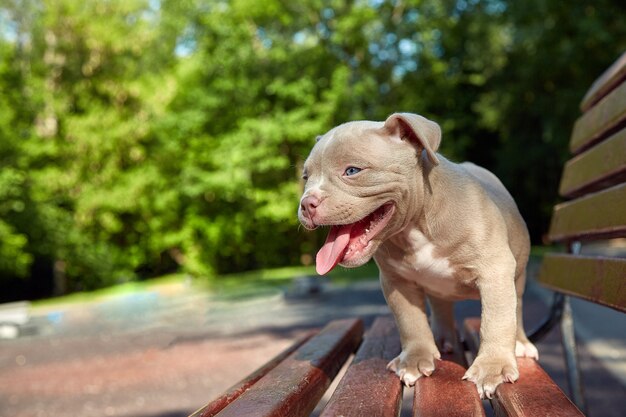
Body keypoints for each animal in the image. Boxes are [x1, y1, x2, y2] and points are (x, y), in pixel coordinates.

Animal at [298, 112, 536, 398]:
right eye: (305, 177)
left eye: (352, 171)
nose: (306, 203)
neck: (416, 223)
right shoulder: (396, 281)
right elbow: (410, 320)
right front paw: (414, 360)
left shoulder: (494, 270)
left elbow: (496, 319)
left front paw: (492, 368)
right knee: (442, 306)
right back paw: (443, 339)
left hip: (517, 277)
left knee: (517, 308)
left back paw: (520, 344)